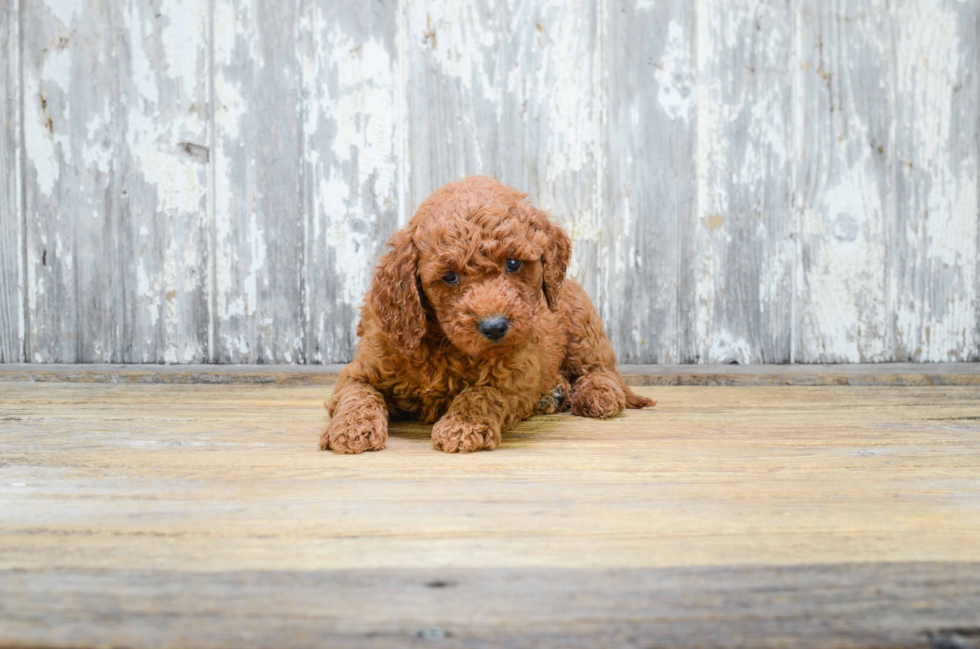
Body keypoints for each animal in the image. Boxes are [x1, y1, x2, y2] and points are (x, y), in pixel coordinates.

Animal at [322, 175, 656, 454]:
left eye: (512, 263)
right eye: (450, 276)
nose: (495, 327)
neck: (444, 344)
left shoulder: (516, 372)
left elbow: (481, 393)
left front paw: (462, 427)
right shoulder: (362, 368)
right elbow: (357, 394)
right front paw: (351, 428)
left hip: (579, 324)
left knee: (600, 369)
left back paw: (598, 394)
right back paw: (554, 393)